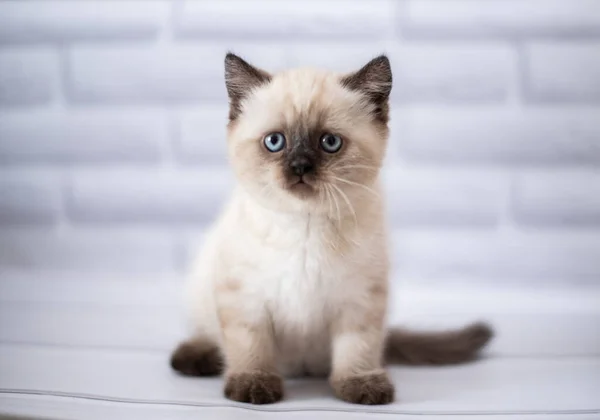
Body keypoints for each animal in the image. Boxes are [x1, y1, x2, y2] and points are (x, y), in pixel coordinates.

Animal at [170, 52, 492, 404]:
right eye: (274, 142)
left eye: (330, 142)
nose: (300, 167)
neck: (306, 223)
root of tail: (301, 368)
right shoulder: (246, 299)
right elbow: (250, 348)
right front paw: (253, 385)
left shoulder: (359, 300)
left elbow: (357, 350)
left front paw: (362, 385)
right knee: (208, 335)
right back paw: (194, 357)